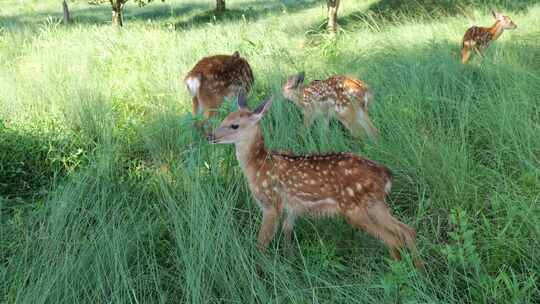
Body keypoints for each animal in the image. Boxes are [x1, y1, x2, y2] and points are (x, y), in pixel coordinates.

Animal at [207, 91, 422, 268]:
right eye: (223, 118)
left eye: (234, 125)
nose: (210, 136)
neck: (257, 166)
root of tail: (385, 174)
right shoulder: (292, 207)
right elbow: (287, 232)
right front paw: (290, 260)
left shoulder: (271, 204)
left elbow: (262, 242)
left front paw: (259, 266)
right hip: (375, 203)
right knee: (407, 231)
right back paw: (420, 269)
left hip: (353, 208)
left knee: (393, 238)